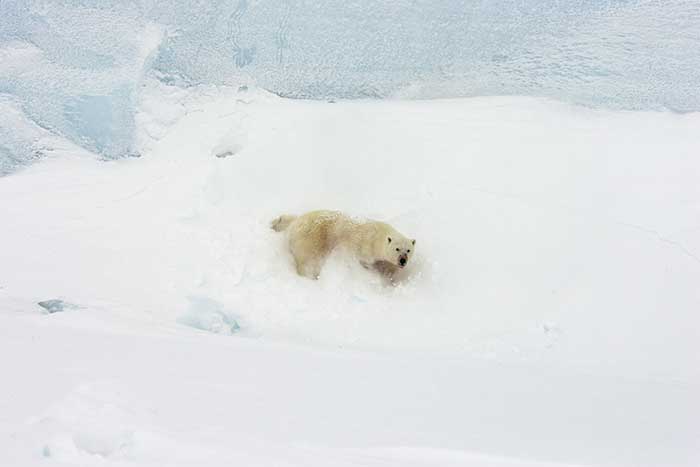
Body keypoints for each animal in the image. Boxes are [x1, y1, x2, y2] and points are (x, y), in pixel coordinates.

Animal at [272, 210, 416, 280]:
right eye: (397, 249)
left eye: (408, 250)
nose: (402, 260)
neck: (378, 236)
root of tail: (296, 222)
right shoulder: (365, 248)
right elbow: (364, 262)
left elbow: (387, 267)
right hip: (312, 240)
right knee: (309, 261)